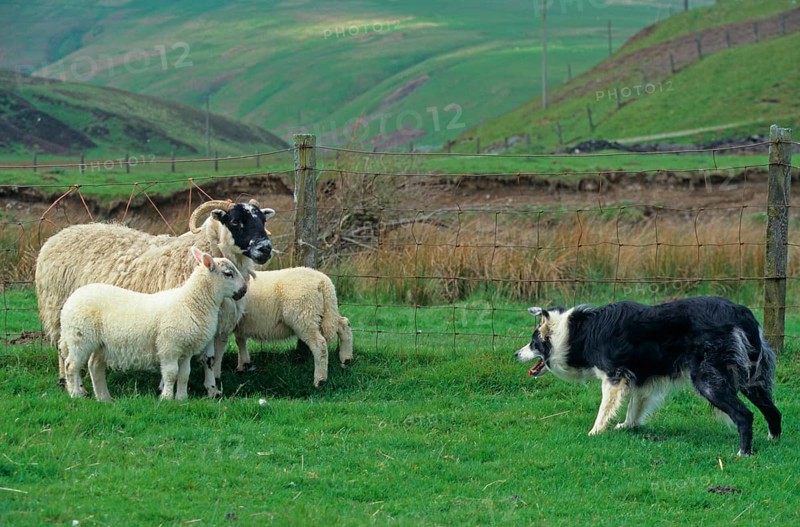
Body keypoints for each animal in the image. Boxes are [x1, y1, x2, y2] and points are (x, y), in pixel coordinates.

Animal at [60, 247, 247, 401]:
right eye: (228, 273)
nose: (244, 290)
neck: (191, 302)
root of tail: (71, 299)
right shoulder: (169, 345)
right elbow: (171, 374)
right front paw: (166, 398)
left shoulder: (186, 349)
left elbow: (184, 375)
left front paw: (182, 398)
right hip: (80, 338)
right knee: (71, 366)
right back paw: (76, 394)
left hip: (100, 343)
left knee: (94, 366)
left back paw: (104, 398)